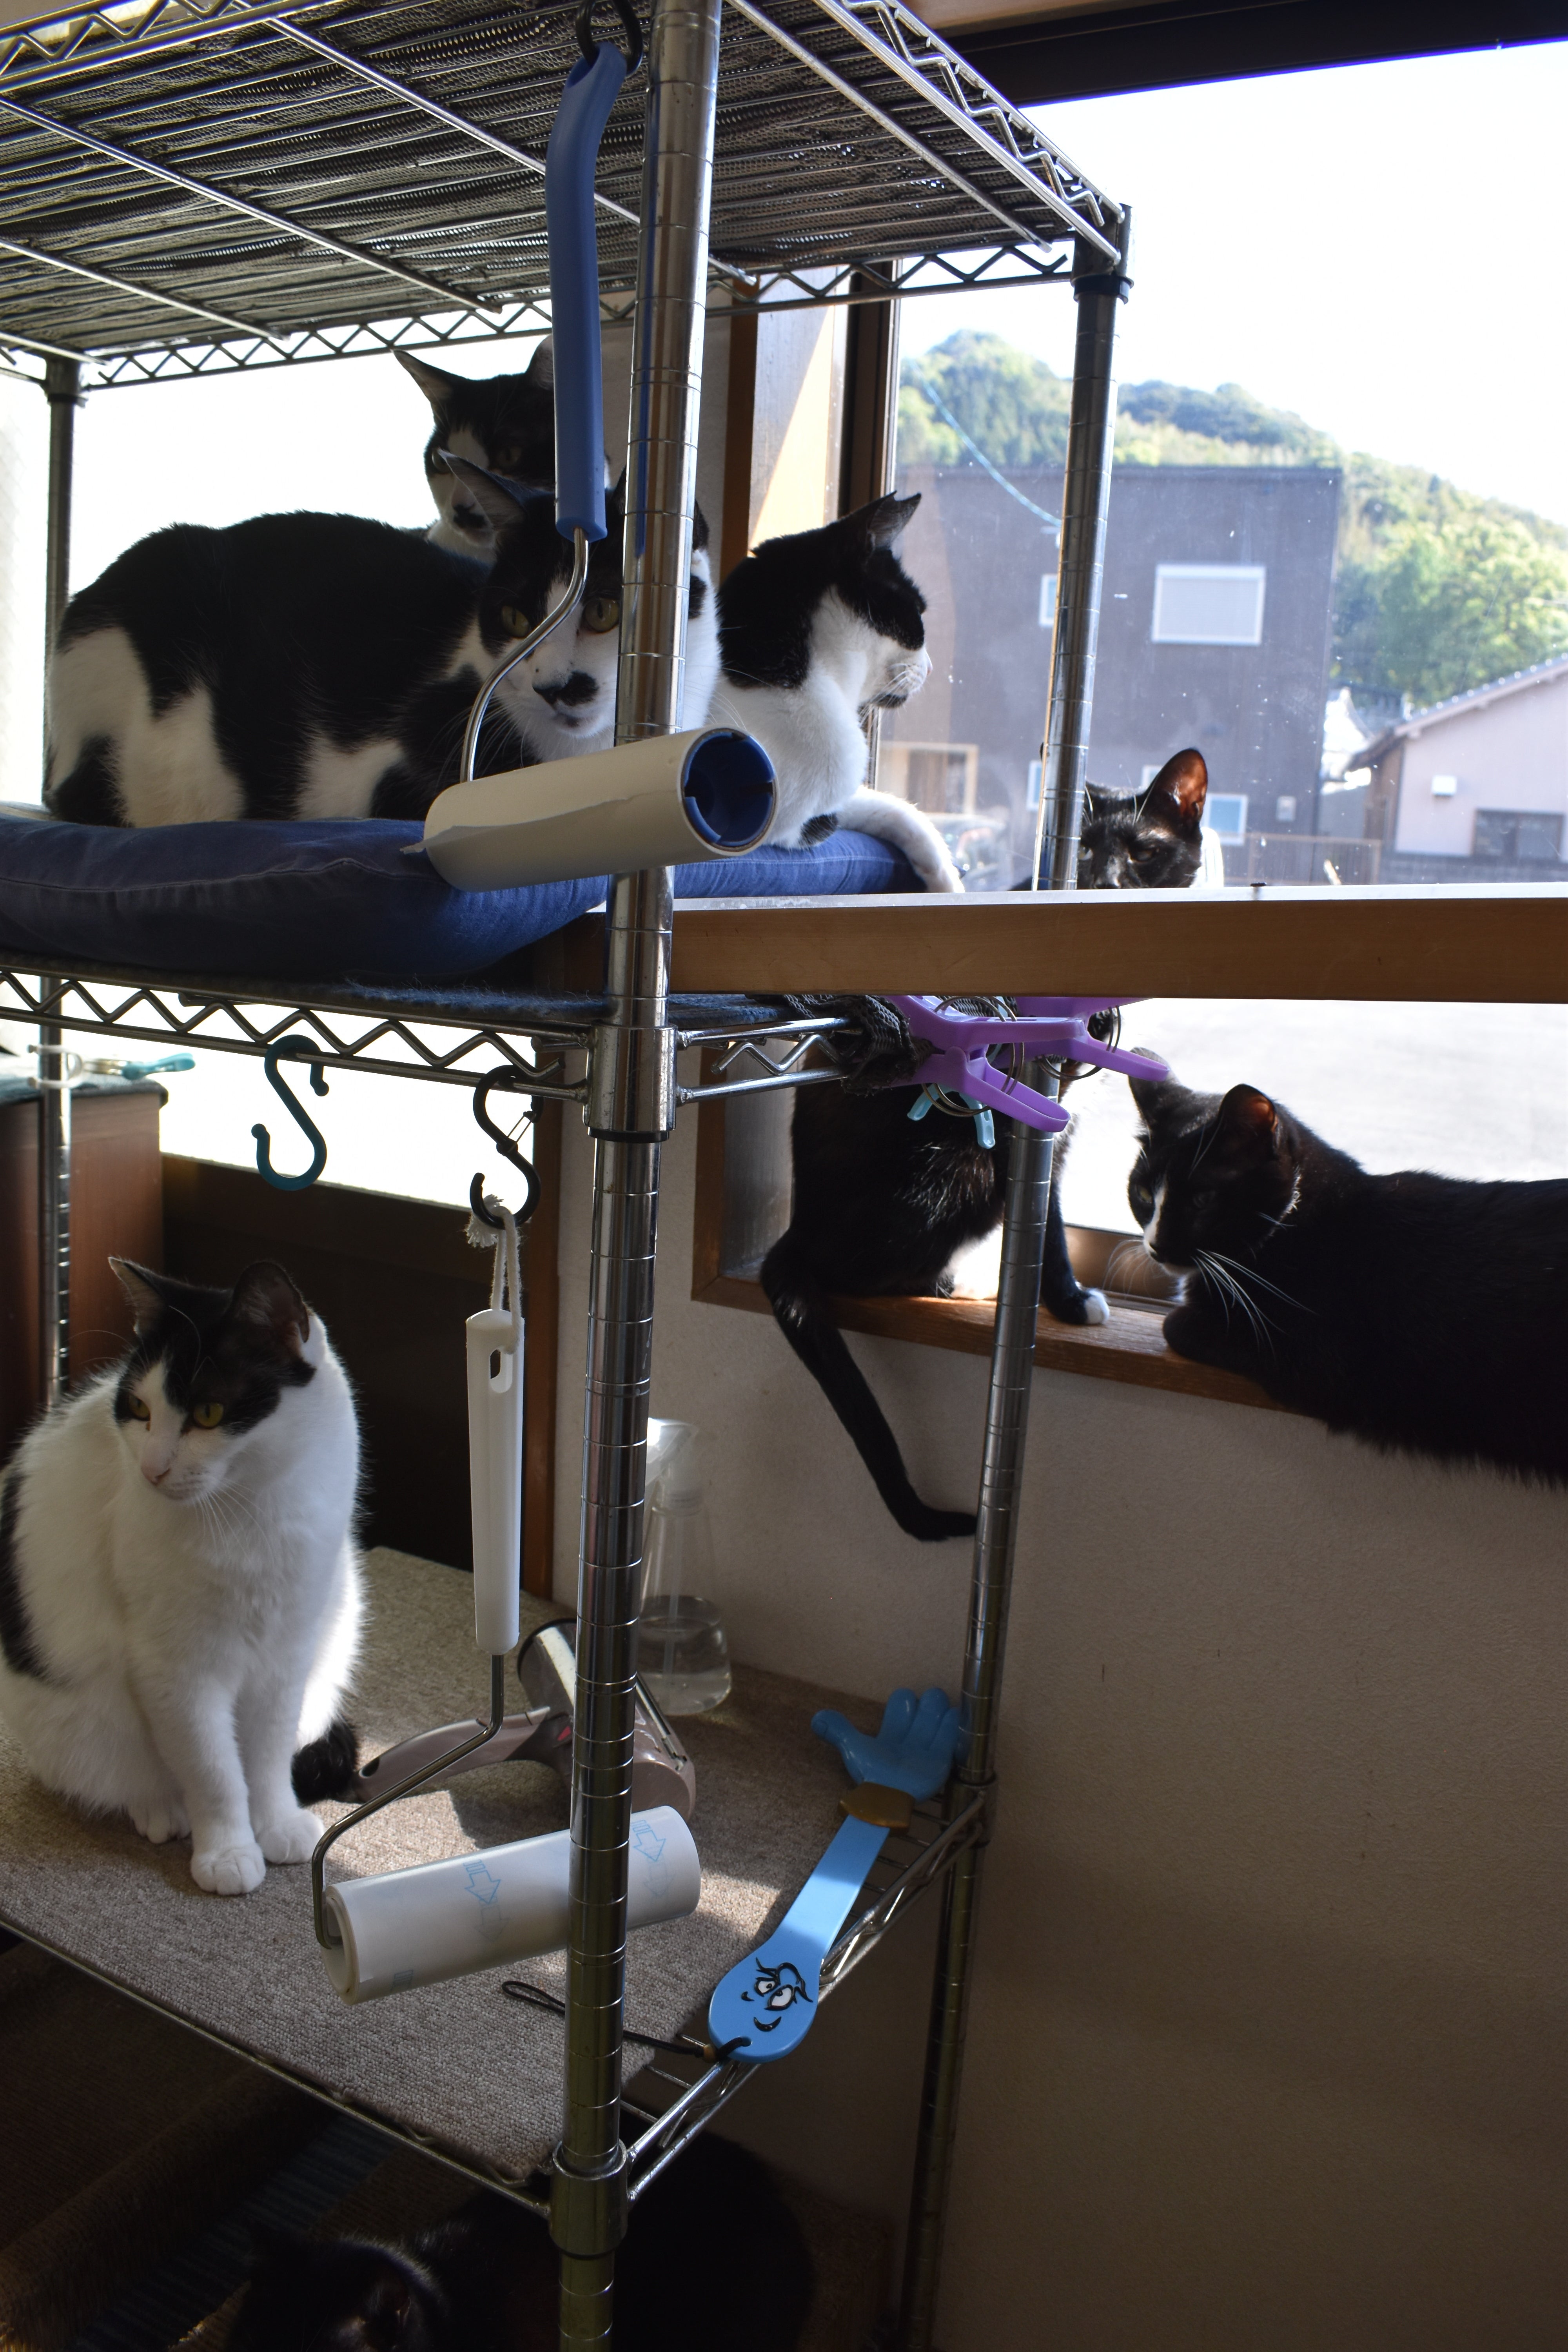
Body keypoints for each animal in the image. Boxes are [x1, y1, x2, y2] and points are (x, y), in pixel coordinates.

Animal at [0, 1258, 362, 1894]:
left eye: (208, 1413)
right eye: (141, 1411)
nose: (151, 1470)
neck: (253, 1510)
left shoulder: (287, 1655)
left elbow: (267, 1757)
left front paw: (275, 1823)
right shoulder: (177, 1669)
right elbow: (214, 1771)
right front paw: (228, 1852)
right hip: (81, 1724)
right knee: (136, 1775)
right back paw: (161, 1810)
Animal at [760, 750, 1209, 1540]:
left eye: (1144, 851)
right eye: (1081, 852)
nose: (1105, 884)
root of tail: (795, 1232)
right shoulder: (1037, 1116)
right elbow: (1051, 1217)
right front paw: (1067, 1300)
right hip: (957, 1169)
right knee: (867, 1271)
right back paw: (959, 1284)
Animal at [1126, 1073, 1568, 1483]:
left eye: (1202, 1200)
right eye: (1144, 1195)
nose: (1156, 1246)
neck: (1299, 1222)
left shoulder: (1319, 1356)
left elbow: (1174, 1324)